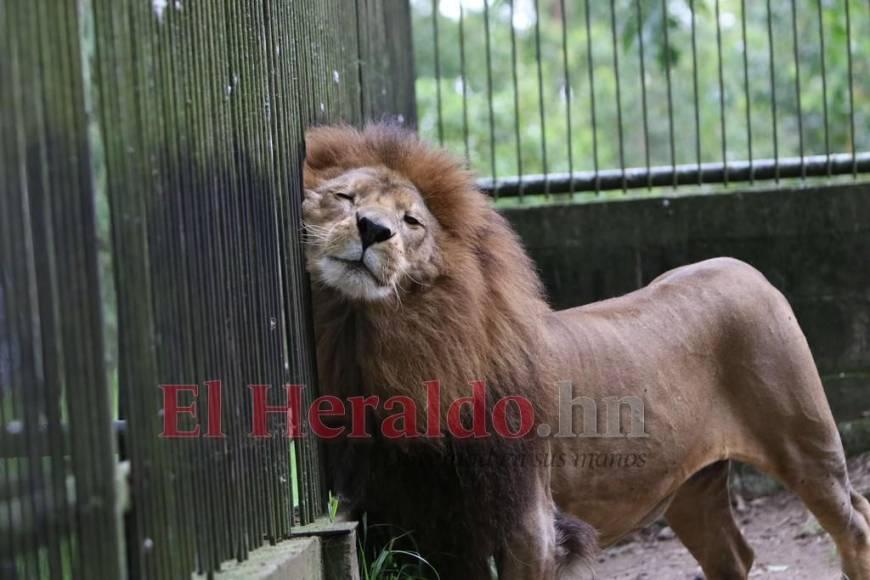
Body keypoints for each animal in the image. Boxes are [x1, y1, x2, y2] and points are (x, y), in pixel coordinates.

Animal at [304, 124, 870, 576]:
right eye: (345, 197)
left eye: (412, 221)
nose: (373, 229)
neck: (387, 351)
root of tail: (743, 266)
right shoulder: (414, 523)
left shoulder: (530, 528)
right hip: (691, 485)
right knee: (733, 554)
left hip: (806, 445)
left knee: (854, 523)